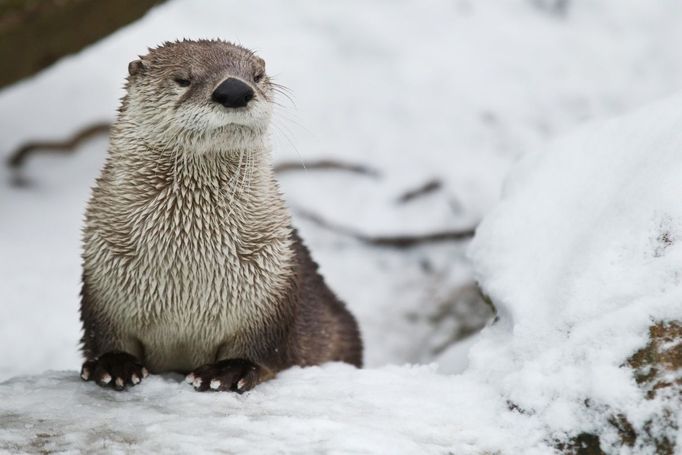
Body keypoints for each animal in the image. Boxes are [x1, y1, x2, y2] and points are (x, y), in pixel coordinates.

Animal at [78, 39, 362, 394]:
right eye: (183, 79)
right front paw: (113, 364)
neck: (188, 267)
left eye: (256, 75)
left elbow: (261, 347)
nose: (235, 90)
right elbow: (103, 333)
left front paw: (228, 371)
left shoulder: (270, 280)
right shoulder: (103, 273)